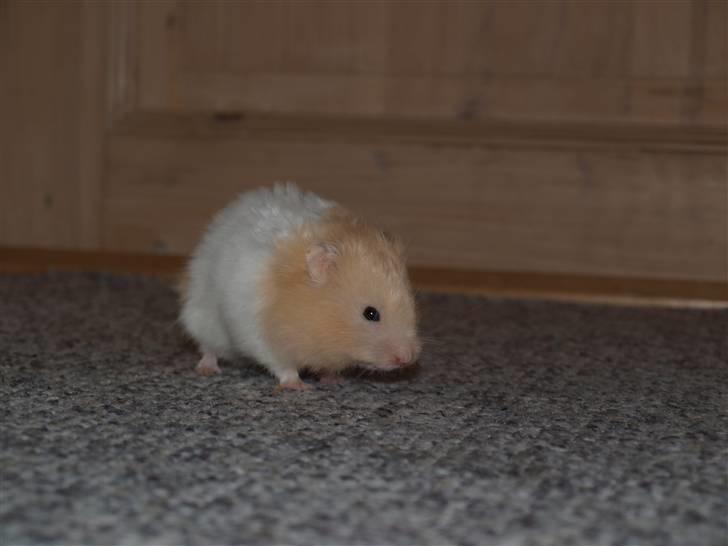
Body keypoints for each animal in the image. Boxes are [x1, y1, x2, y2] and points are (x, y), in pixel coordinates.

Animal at [179, 183, 421, 390]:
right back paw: (207, 369)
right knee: (207, 348)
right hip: (203, 319)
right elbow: (283, 366)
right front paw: (297, 386)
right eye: (370, 313)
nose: (406, 358)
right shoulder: (260, 336)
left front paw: (333, 379)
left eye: (412, 305)